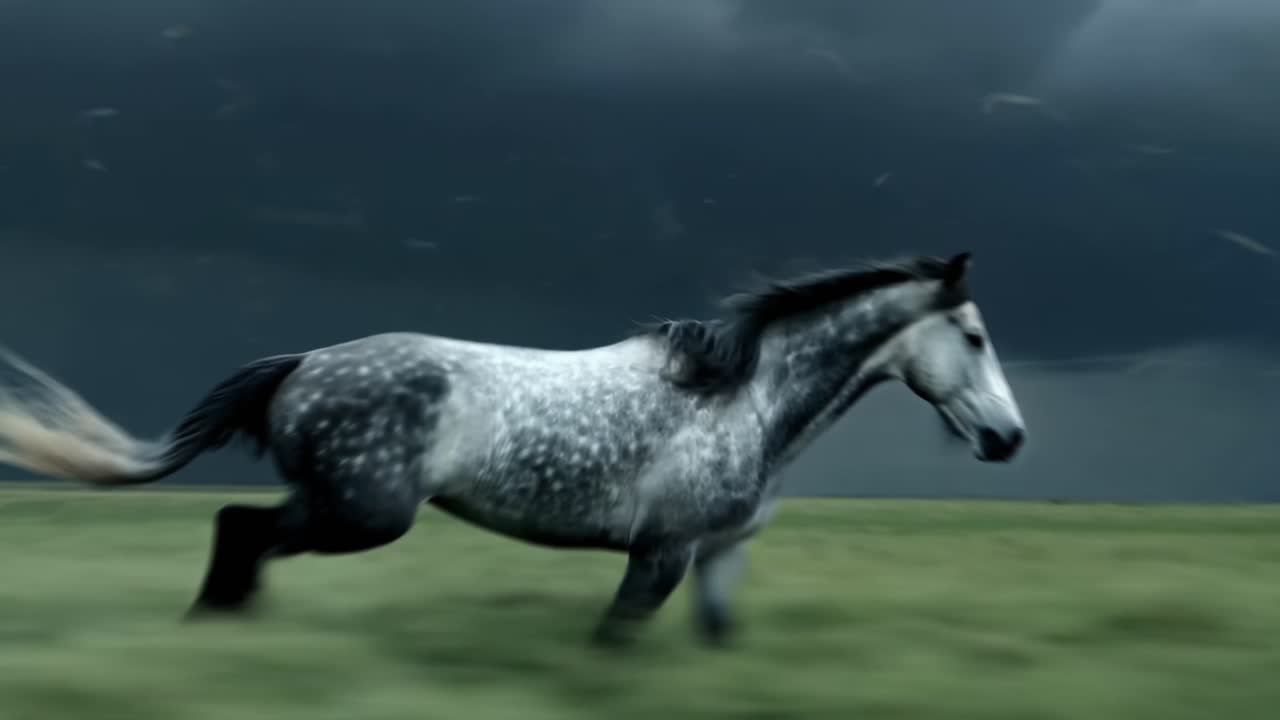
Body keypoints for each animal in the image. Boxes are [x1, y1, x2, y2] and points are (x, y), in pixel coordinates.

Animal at [0, 251, 1025, 647]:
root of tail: (301, 364)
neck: (748, 399)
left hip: (343, 510)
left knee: (235, 530)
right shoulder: (662, 552)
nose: (1009, 439)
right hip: (360, 515)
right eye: (974, 336)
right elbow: (616, 638)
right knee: (238, 529)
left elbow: (719, 635)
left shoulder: (718, 554)